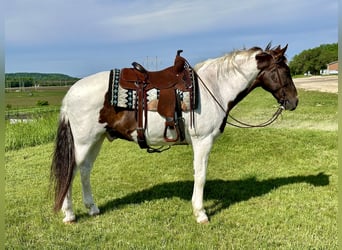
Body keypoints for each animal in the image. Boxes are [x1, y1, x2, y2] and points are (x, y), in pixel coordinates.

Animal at [50, 44, 300, 224]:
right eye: (284, 71)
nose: (294, 101)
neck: (215, 87)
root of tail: (70, 93)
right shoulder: (203, 142)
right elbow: (201, 175)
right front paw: (200, 213)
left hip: (96, 140)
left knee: (84, 171)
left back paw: (92, 208)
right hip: (84, 142)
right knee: (71, 172)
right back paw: (70, 215)